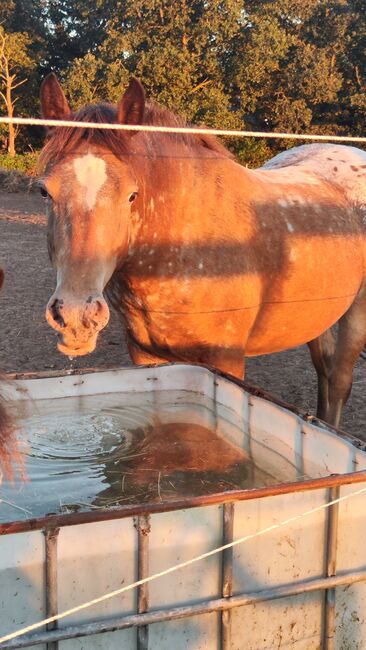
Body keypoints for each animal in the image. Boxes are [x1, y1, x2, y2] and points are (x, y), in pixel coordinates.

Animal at [39, 72, 366, 426]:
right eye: (44, 192)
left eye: (131, 195)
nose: (75, 315)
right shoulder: (143, 354)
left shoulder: (225, 359)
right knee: (325, 372)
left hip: (356, 315)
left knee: (339, 382)